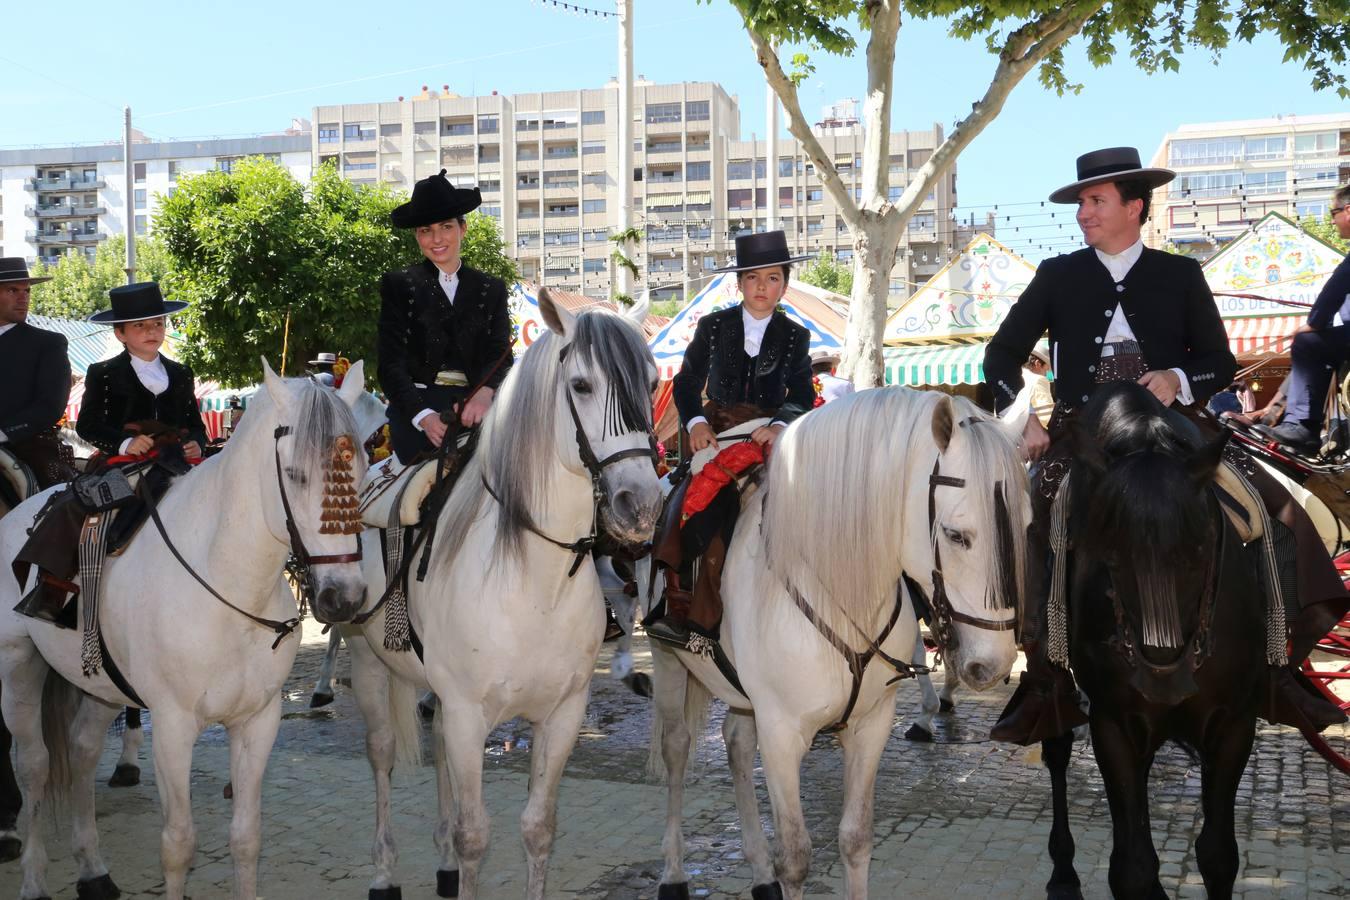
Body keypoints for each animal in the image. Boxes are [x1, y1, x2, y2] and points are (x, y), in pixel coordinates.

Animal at [0, 361, 369, 900]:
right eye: (296, 475)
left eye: (360, 469)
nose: (345, 596)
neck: (228, 585)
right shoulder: (173, 728)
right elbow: (178, 844)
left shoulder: (257, 722)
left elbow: (246, 837)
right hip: (19, 667)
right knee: (34, 765)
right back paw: (32, 878)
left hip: (99, 685)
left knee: (83, 754)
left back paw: (93, 869)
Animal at [342, 290, 664, 900]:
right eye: (581, 385)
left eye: (653, 381)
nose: (641, 505)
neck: (533, 584)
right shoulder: (470, 716)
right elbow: (474, 836)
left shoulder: (561, 716)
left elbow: (538, 828)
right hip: (368, 663)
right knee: (381, 754)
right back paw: (382, 871)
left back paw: (440, 865)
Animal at [648, 388, 1026, 900]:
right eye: (956, 535)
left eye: (1025, 525)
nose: (995, 663)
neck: (838, 586)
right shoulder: (782, 735)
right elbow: (796, 858)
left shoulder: (870, 726)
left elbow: (856, 839)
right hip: (669, 662)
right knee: (677, 748)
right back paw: (673, 872)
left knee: (737, 746)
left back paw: (758, 871)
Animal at [1036, 383, 1269, 900]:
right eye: (1110, 554)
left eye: (1199, 548)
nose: (1163, 675)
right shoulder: (1113, 725)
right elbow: (1133, 868)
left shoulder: (1235, 725)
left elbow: (1218, 856)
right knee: (1056, 748)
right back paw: (1062, 873)